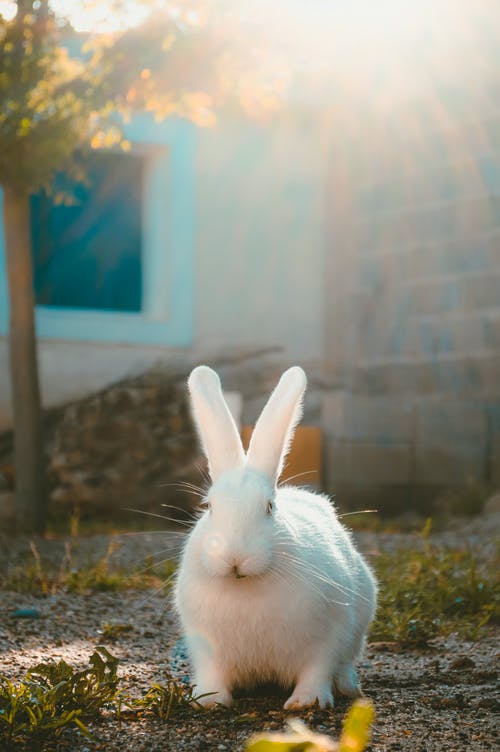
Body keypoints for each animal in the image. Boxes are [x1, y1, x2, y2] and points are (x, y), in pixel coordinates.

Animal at [174, 368, 376, 708]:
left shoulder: (329, 634)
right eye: (209, 507)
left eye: (269, 507)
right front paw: (208, 701)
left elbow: (317, 669)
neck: (246, 587)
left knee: (345, 663)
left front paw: (307, 702)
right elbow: (212, 673)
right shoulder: (204, 645)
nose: (235, 557)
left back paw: (349, 687)